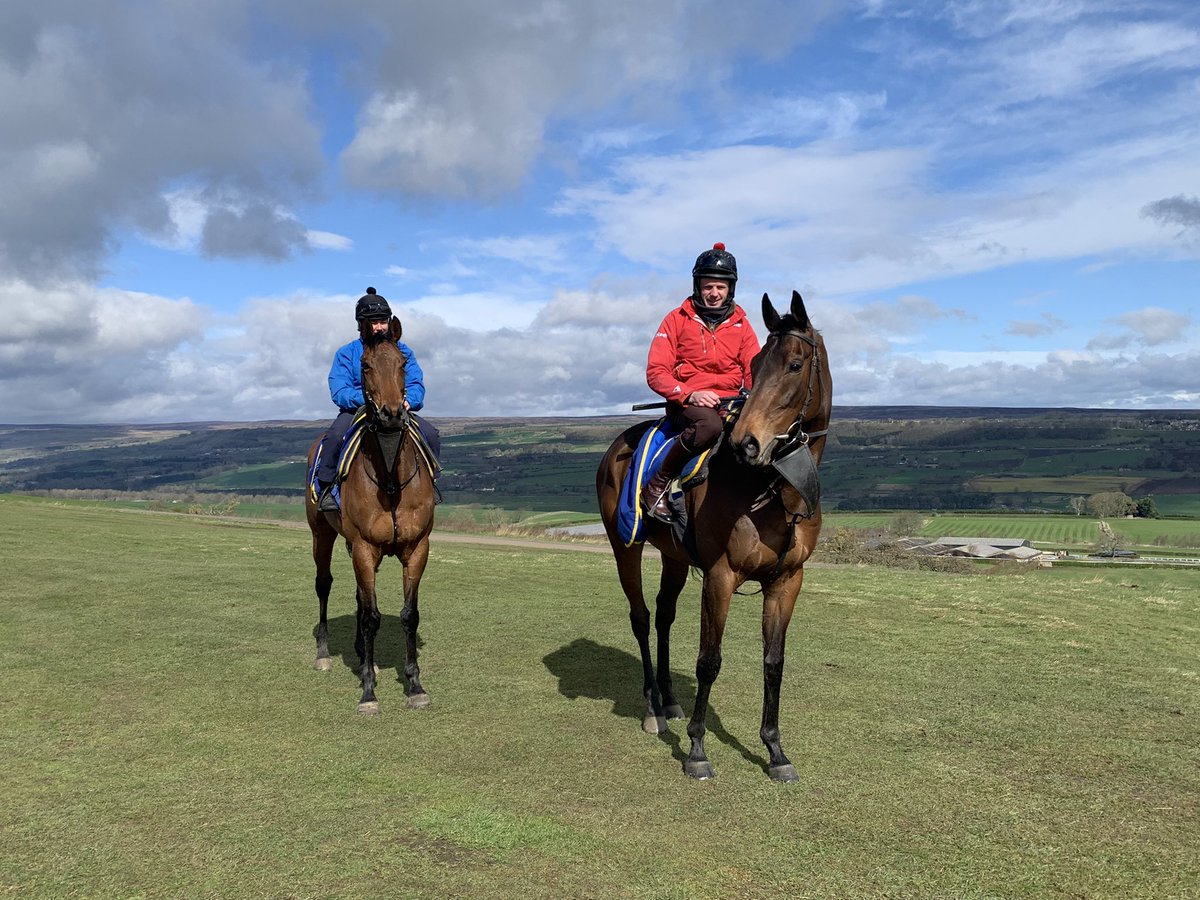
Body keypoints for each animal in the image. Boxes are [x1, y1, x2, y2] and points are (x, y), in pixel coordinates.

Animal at [304, 316, 441, 720]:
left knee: (359, 597)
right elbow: (371, 617)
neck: (391, 478)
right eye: (364, 366)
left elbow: (408, 615)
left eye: (402, 363)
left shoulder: (416, 549)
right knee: (325, 584)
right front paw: (368, 692)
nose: (392, 413)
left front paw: (415, 686)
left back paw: (365, 656)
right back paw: (324, 654)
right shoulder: (365, 548)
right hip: (322, 536)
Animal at [595, 290, 830, 782]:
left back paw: (669, 701)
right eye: (756, 365)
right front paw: (698, 750)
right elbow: (709, 661)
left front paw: (775, 751)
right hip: (624, 548)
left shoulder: (787, 581)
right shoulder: (721, 577)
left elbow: (774, 663)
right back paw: (652, 708)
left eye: (795, 364)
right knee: (642, 617)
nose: (746, 443)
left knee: (664, 616)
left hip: (674, 558)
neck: (771, 489)